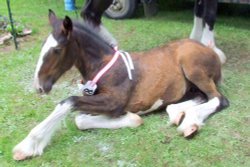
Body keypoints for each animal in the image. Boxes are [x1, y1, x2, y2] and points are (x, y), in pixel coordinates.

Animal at [13, 10, 229, 160]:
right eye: (42, 46)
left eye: (57, 49)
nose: (39, 86)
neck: (104, 66)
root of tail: (211, 51)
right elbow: (80, 120)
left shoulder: (114, 101)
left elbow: (69, 102)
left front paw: (27, 146)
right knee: (199, 97)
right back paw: (179, 115)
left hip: (194, 69)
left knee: (219, 99)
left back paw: (189, 123)